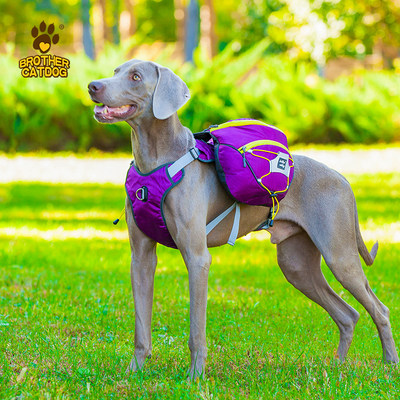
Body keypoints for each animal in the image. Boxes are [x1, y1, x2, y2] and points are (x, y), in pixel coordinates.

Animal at [89, 58, 398, 378]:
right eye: (115, 72)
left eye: (136, 77)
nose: (92, 86)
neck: (155, 162)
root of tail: (344, 179)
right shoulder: (140, 258)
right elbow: (141, 326)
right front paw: (133, 373)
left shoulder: (197, 257)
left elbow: (196, 330)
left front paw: (194, 377)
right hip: (296, 264)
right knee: (347, 314)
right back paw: (337, 367)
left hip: (339, 254)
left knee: (379, 309)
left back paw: (389, 365)